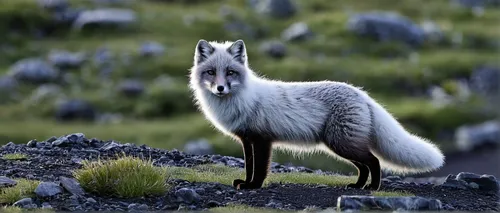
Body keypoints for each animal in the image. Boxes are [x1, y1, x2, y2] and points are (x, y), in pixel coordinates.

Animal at [188, 39, 446, 191]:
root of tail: (361, 94)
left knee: (374, 161)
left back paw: (372, 189)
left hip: (342, 143)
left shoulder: (262, 139)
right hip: (341, 144)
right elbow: (249, 166)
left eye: (230, 72)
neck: (244, 99)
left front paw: (254, 186)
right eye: (211, 72)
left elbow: (260, 168)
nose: (220, 88)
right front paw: (246, 182)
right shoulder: (247, 139)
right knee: (364, 166)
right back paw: (357, 186)